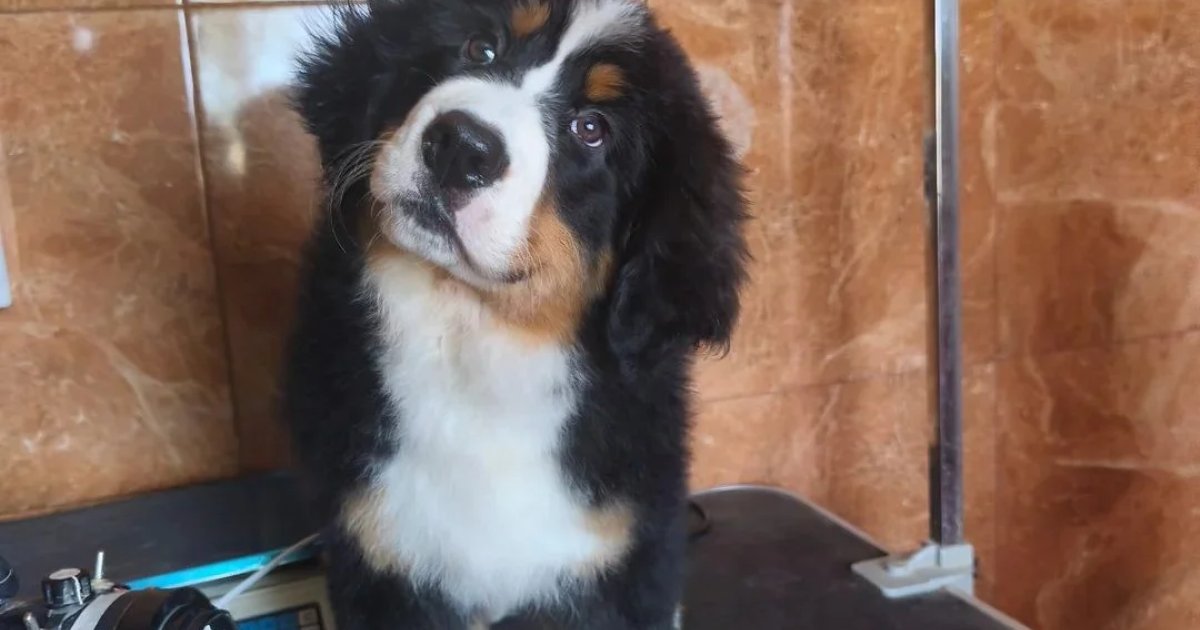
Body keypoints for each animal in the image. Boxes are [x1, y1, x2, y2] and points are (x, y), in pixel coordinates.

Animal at [284, 1, 748, 627]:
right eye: (480, 48)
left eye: (591, 129)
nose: (461, 146)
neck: (473, 333)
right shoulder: (378, 556)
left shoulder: (615, 563)